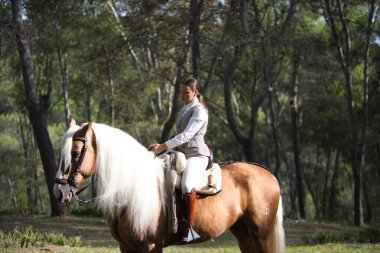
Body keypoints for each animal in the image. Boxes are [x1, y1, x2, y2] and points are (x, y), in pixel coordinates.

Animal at [53, 121, 284, 253]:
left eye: (75, 152)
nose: (59, 191)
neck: (132, 189)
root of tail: (268, 174)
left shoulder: (150, 247)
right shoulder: (126, 247)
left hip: (260, 235)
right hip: (244, 235)